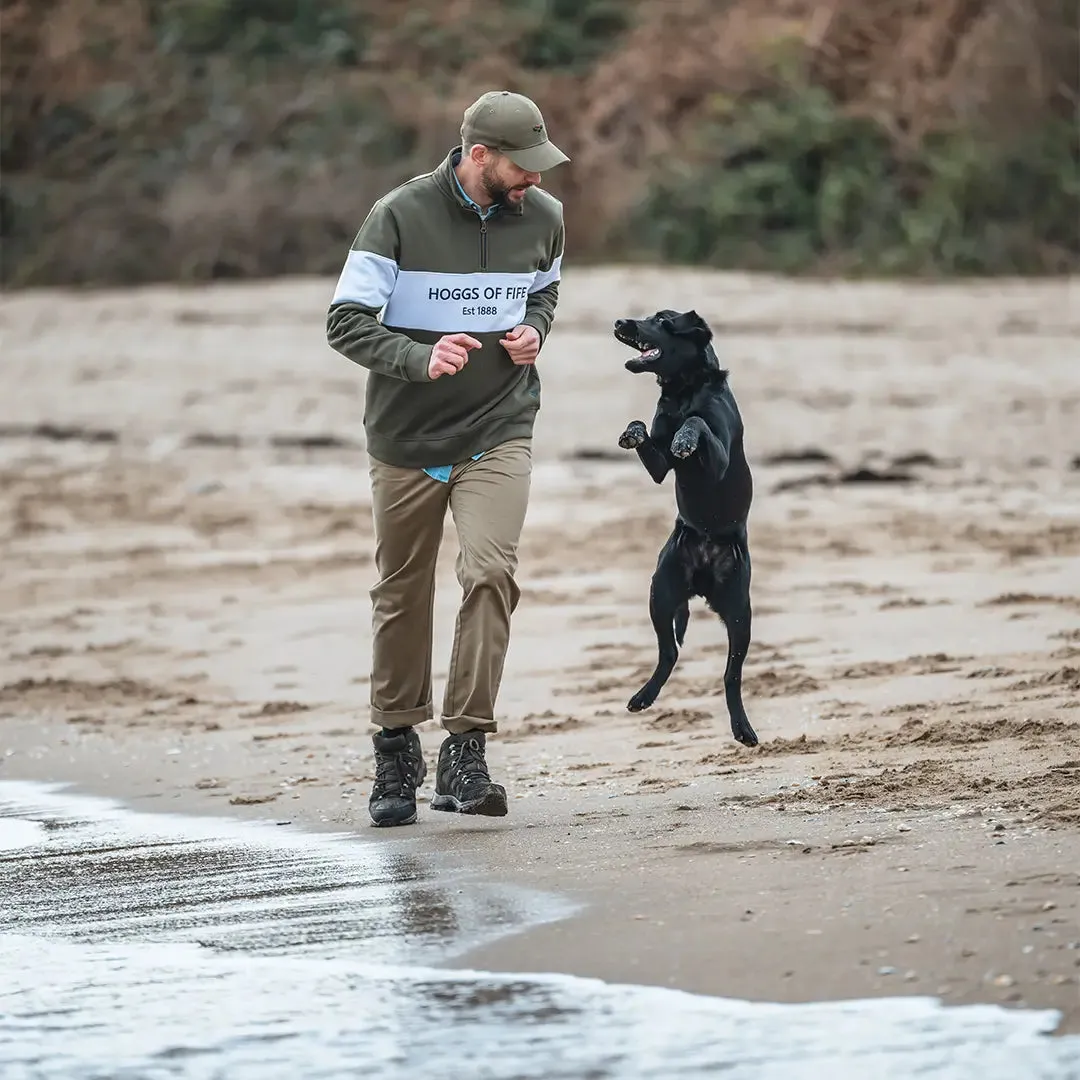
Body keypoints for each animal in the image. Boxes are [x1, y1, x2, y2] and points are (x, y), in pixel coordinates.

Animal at [617, 308, 760, 747]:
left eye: (662, 319)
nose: (620, 323)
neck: (683, 390)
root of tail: (701, 580)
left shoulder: (718, 460)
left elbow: (697, 423)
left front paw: (685, 438)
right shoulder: (660, 466)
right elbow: (647, 434)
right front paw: (632, 432)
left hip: (739, 615)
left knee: (731, 675)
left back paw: (743, 728)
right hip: (661, 593)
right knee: (670, 653)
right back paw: (643, 697)